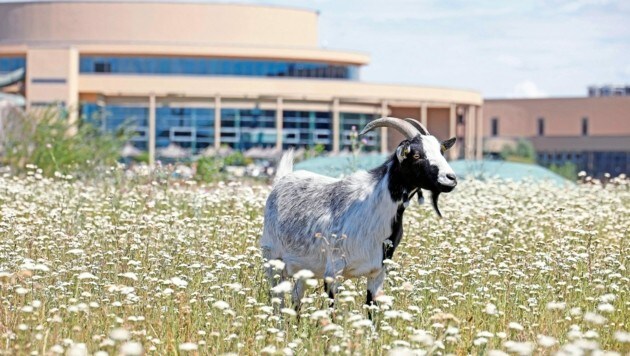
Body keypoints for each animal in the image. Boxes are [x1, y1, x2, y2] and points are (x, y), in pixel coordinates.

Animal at [262, 116, 460, 312]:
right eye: (417, 155)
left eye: (441, 152)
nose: (451, 178)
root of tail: (281, 180)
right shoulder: (333, 270)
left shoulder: (377, 273)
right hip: (273, 259)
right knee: (278, 302)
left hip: (304, 270)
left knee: (296, 300)